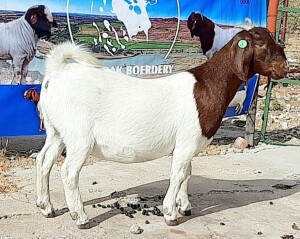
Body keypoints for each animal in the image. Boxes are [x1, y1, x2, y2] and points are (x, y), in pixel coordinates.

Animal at [35, 27, 288, 228]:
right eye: (262, 43)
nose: (285, 67)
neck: (208, 85)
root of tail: (57, 72)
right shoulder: (187, 141)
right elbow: (178, 174)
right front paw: (170, 213)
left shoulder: (186, 144)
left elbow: (187, 172)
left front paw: (184, 206)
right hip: (79, 137)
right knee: (68, 171)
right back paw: (80, 217)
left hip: (56, 131)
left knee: (44, 160)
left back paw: (46, 207)